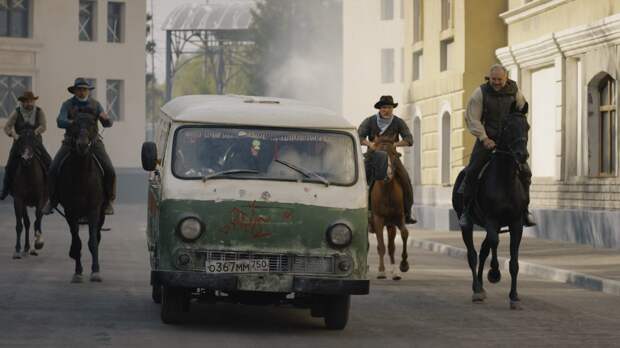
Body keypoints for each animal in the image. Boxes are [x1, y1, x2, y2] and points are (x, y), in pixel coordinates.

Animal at [9, 130, 46, 258]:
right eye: (20, 142)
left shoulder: (41, 200)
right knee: (27, 223)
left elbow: (38, 219)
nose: (25, 159)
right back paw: (26, 247)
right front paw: (17, 249)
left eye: (34, 142)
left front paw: (38, 243)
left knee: (36, 221)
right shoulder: (18, 200)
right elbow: (20, 224)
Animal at [58, 114, 108, 282]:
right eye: (74, 124)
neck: (82, 178)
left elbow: (92, 241)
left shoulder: (94, 209)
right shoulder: (70, 211)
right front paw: (78, 272)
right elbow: (76, 241)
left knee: (96, 236)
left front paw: (96, 271)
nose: (83, 145)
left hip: (101, 213)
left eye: (93, 123)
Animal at [452, 104, 532, 310]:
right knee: (473, 254)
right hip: (468, 225)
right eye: (508, 127)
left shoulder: (515, 224)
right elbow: (495, 244)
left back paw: (481, 286)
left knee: (482, 251)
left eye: (527, 127)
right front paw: (495, 273)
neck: (505, 182)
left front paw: (514, 297)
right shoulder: (491, 220)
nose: (522, 155)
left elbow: (514, 262)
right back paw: (477, 290)